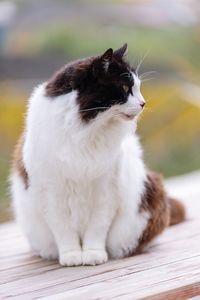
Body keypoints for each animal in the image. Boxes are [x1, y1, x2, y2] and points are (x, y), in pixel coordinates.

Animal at [10, 43, 185, 266]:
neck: (85, 131)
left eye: (138, 88)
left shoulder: (106, 189)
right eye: (126, 89)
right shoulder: (52, 191)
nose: (143, 103)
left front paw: (93, 254)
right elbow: (63, 229)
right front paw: (71, 256)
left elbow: (97, 228)